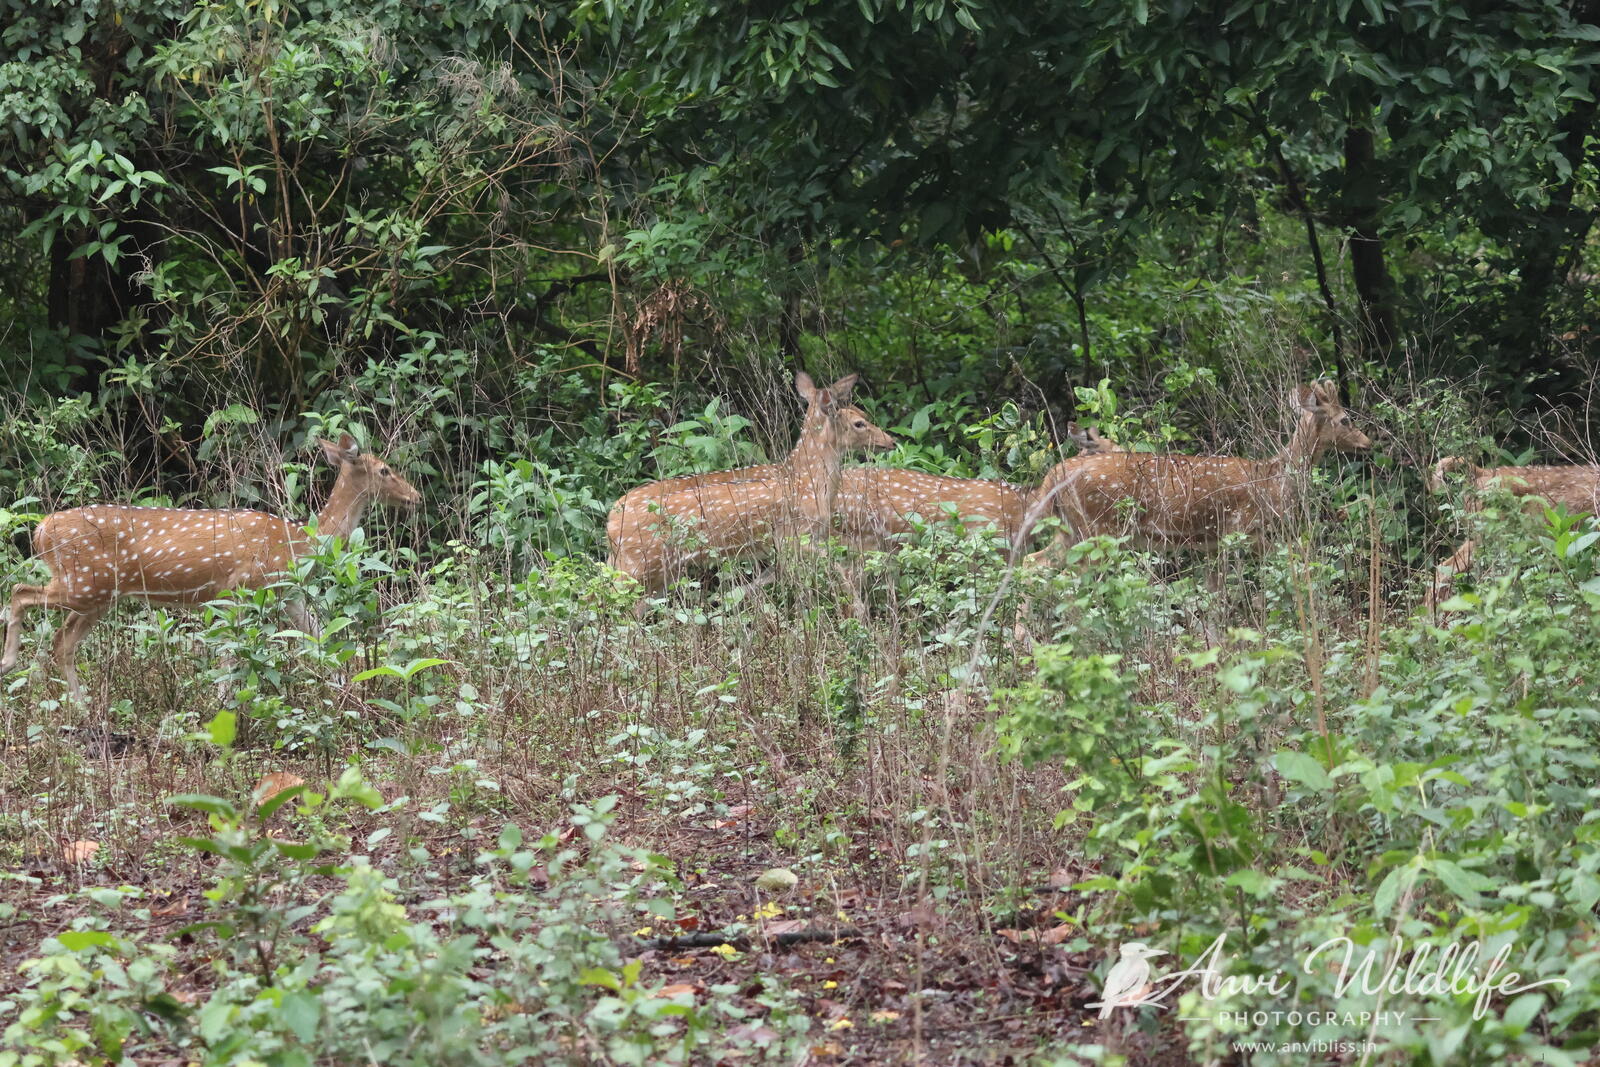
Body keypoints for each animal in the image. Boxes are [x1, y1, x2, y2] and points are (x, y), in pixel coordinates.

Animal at [0, 434, 421, 702]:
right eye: (384, 470)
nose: (415, 496)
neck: (296, 542)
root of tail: (39, 530)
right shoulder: (240, 586)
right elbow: (230, 654)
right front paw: (221, 705)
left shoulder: (287, 595)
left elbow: (319, 638)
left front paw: (350, 688)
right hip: (84, 582)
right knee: (20, 594)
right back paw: (9, 663)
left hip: (98, 595)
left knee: (61, 642)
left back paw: (81, 708)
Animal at [606, 371, 894, 601]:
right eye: (859, 423)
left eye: (862, 414)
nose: (890, 441)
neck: (807, 481)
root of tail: (611, 517)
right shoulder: (792, 537)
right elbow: (836, 568)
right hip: (639, 564)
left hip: (652, 570)